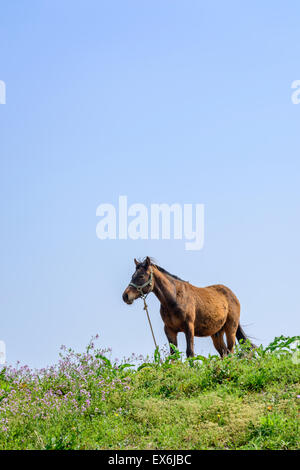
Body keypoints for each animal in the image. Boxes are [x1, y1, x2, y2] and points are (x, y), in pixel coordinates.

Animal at [122, 258, 253, 356]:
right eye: (132, 275)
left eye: (141, 276)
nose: (125, 296)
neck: (175, 298)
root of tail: (232, 295)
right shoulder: (169, 330)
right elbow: (173, 354)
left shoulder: (189, 327)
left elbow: (190, 352)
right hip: (216, 333)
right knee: (224, 352)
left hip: (231, 328)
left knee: (231, 351)